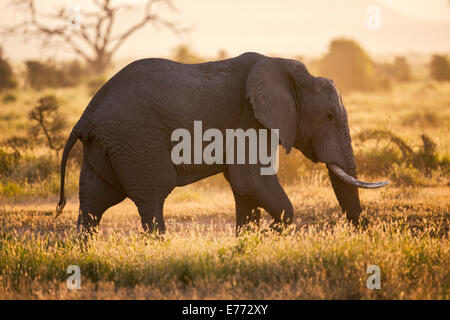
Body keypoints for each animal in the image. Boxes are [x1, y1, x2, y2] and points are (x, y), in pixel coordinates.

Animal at [55, 52, 386, 232]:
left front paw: (250, 243)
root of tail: (85, 118)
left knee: (93, 204)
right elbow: (251, 181)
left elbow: (245, 190)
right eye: (328, 116)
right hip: (134, 142)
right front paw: (270, 232)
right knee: (151, 198)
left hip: (105, 148)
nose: (369, 230)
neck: (291, 71)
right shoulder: (249, 118)